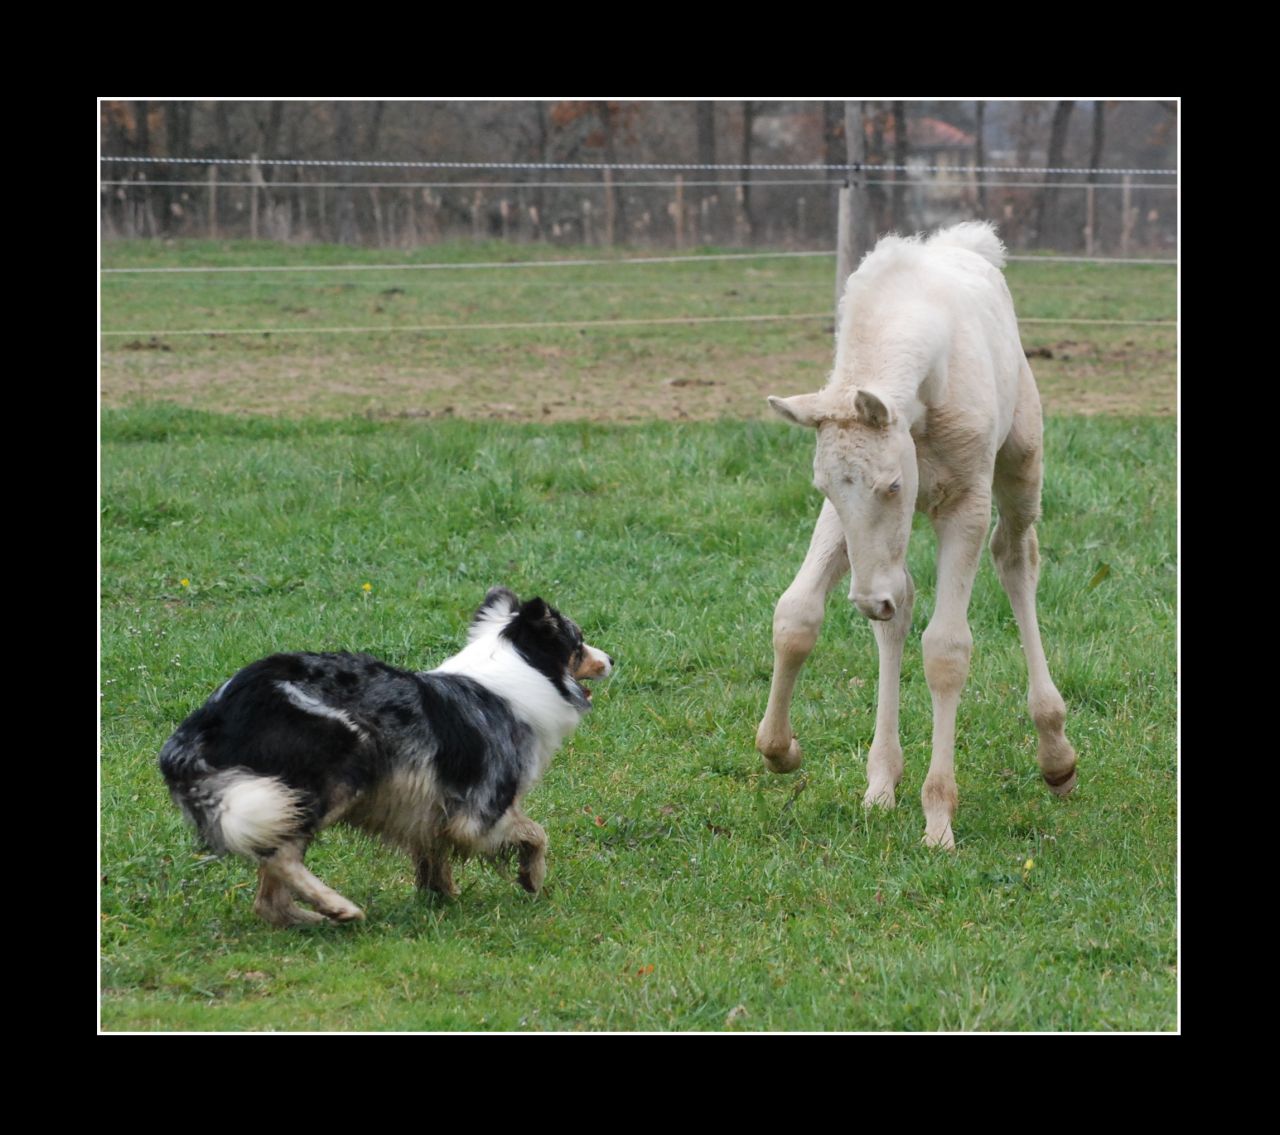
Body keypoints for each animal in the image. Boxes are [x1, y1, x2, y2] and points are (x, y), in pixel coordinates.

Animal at [158, 588, 612, 926]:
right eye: (578, 642)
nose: (612, 659)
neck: (522, 672)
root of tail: (208, 720)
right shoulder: (482, 809)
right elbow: (536, 834)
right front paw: (531, 877)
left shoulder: (431, 803)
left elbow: (435, 855)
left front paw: (443, 897)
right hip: (341, 762)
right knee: (279, 857)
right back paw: (338, 907)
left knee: (269, 901)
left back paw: (318, 918)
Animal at [756, 222, 1076, 848]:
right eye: (823, 485)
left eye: (893, 484)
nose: (864, 600)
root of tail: (971, 244)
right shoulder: (839, 519)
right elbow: (795, 616)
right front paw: (781, 750)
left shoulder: (967, 503)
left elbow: (946, 650)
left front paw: (938, 820)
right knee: (899, 607)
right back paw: (881, 782)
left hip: (1022, 463)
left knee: (1014, 557)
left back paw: (1055, 755)